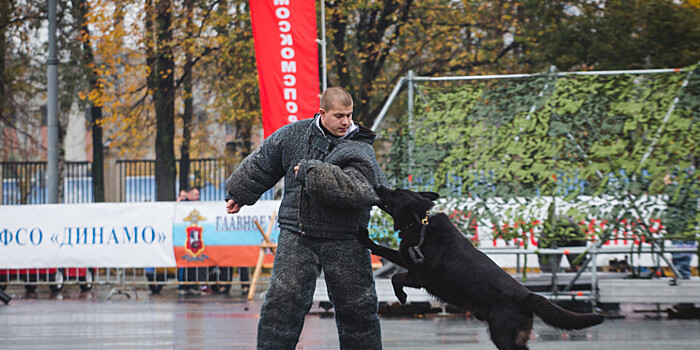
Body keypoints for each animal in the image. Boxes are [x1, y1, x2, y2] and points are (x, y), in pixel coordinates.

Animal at [358, 187, 604, 350]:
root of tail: (527, 295)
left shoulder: (418, 276)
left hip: (502, 336)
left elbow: (395, 278)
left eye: (393, 194)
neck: (420, 224)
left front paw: (400, 296)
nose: (378, 185)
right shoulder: (405, 261)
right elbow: (385, 252)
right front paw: (368, 241)